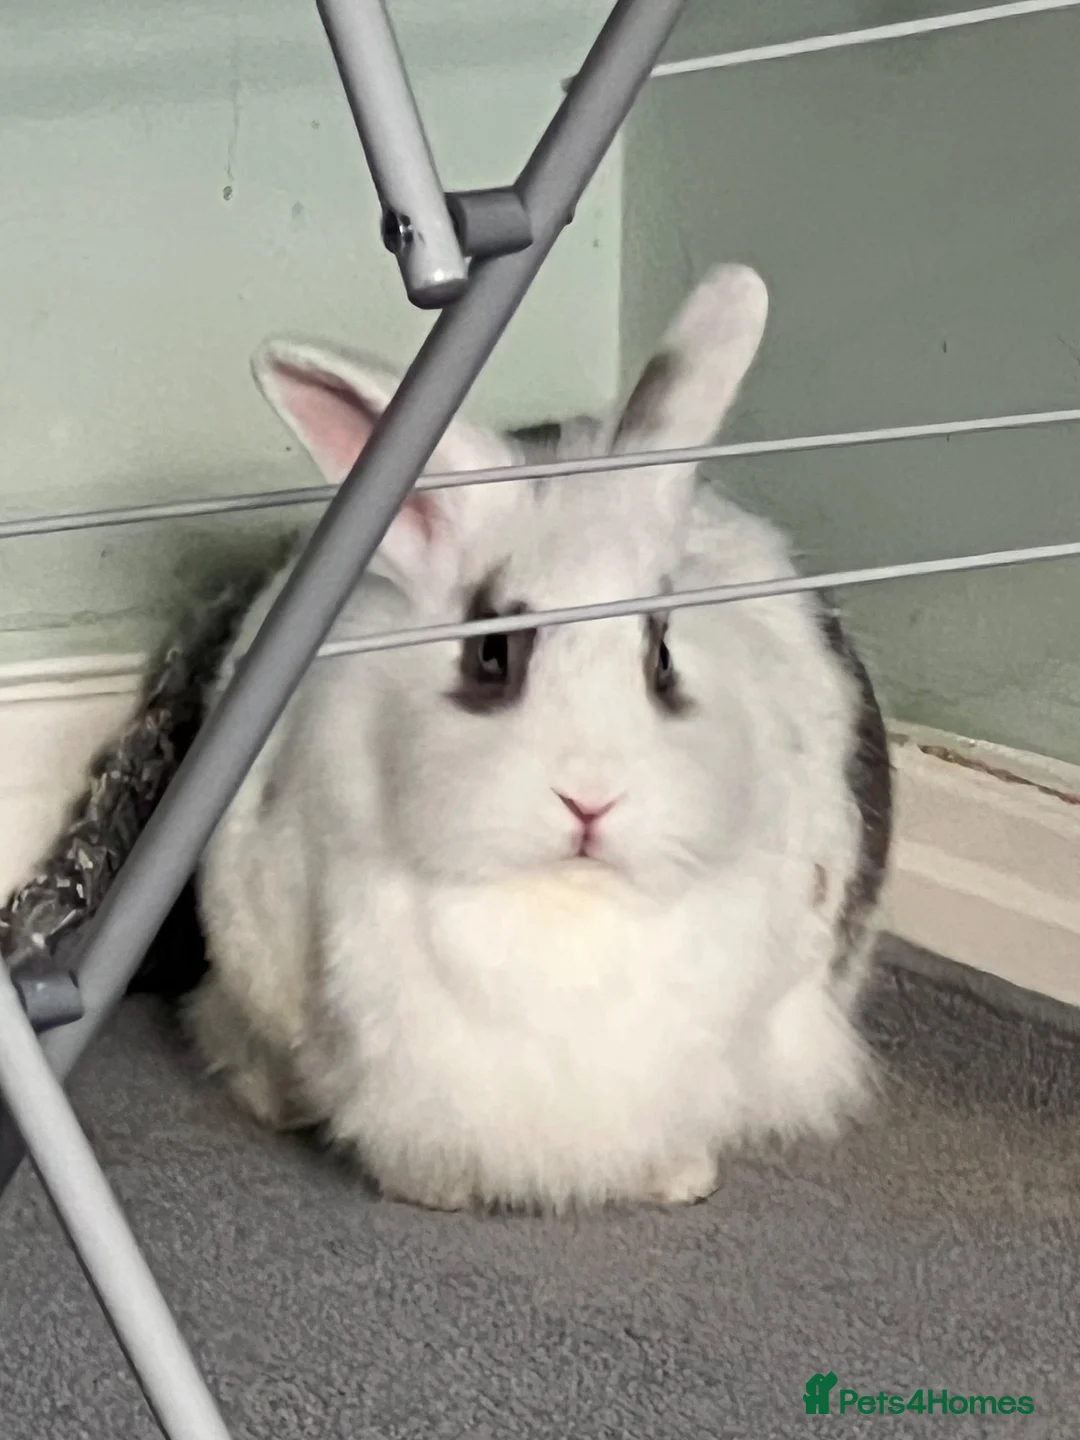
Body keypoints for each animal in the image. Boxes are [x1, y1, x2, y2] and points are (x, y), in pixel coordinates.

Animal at [190, 263, 892, 1213]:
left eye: (661, 655)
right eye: (491, 655)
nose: (589, 799)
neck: (562, 902)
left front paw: (682, 1180)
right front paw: (433, 1190)